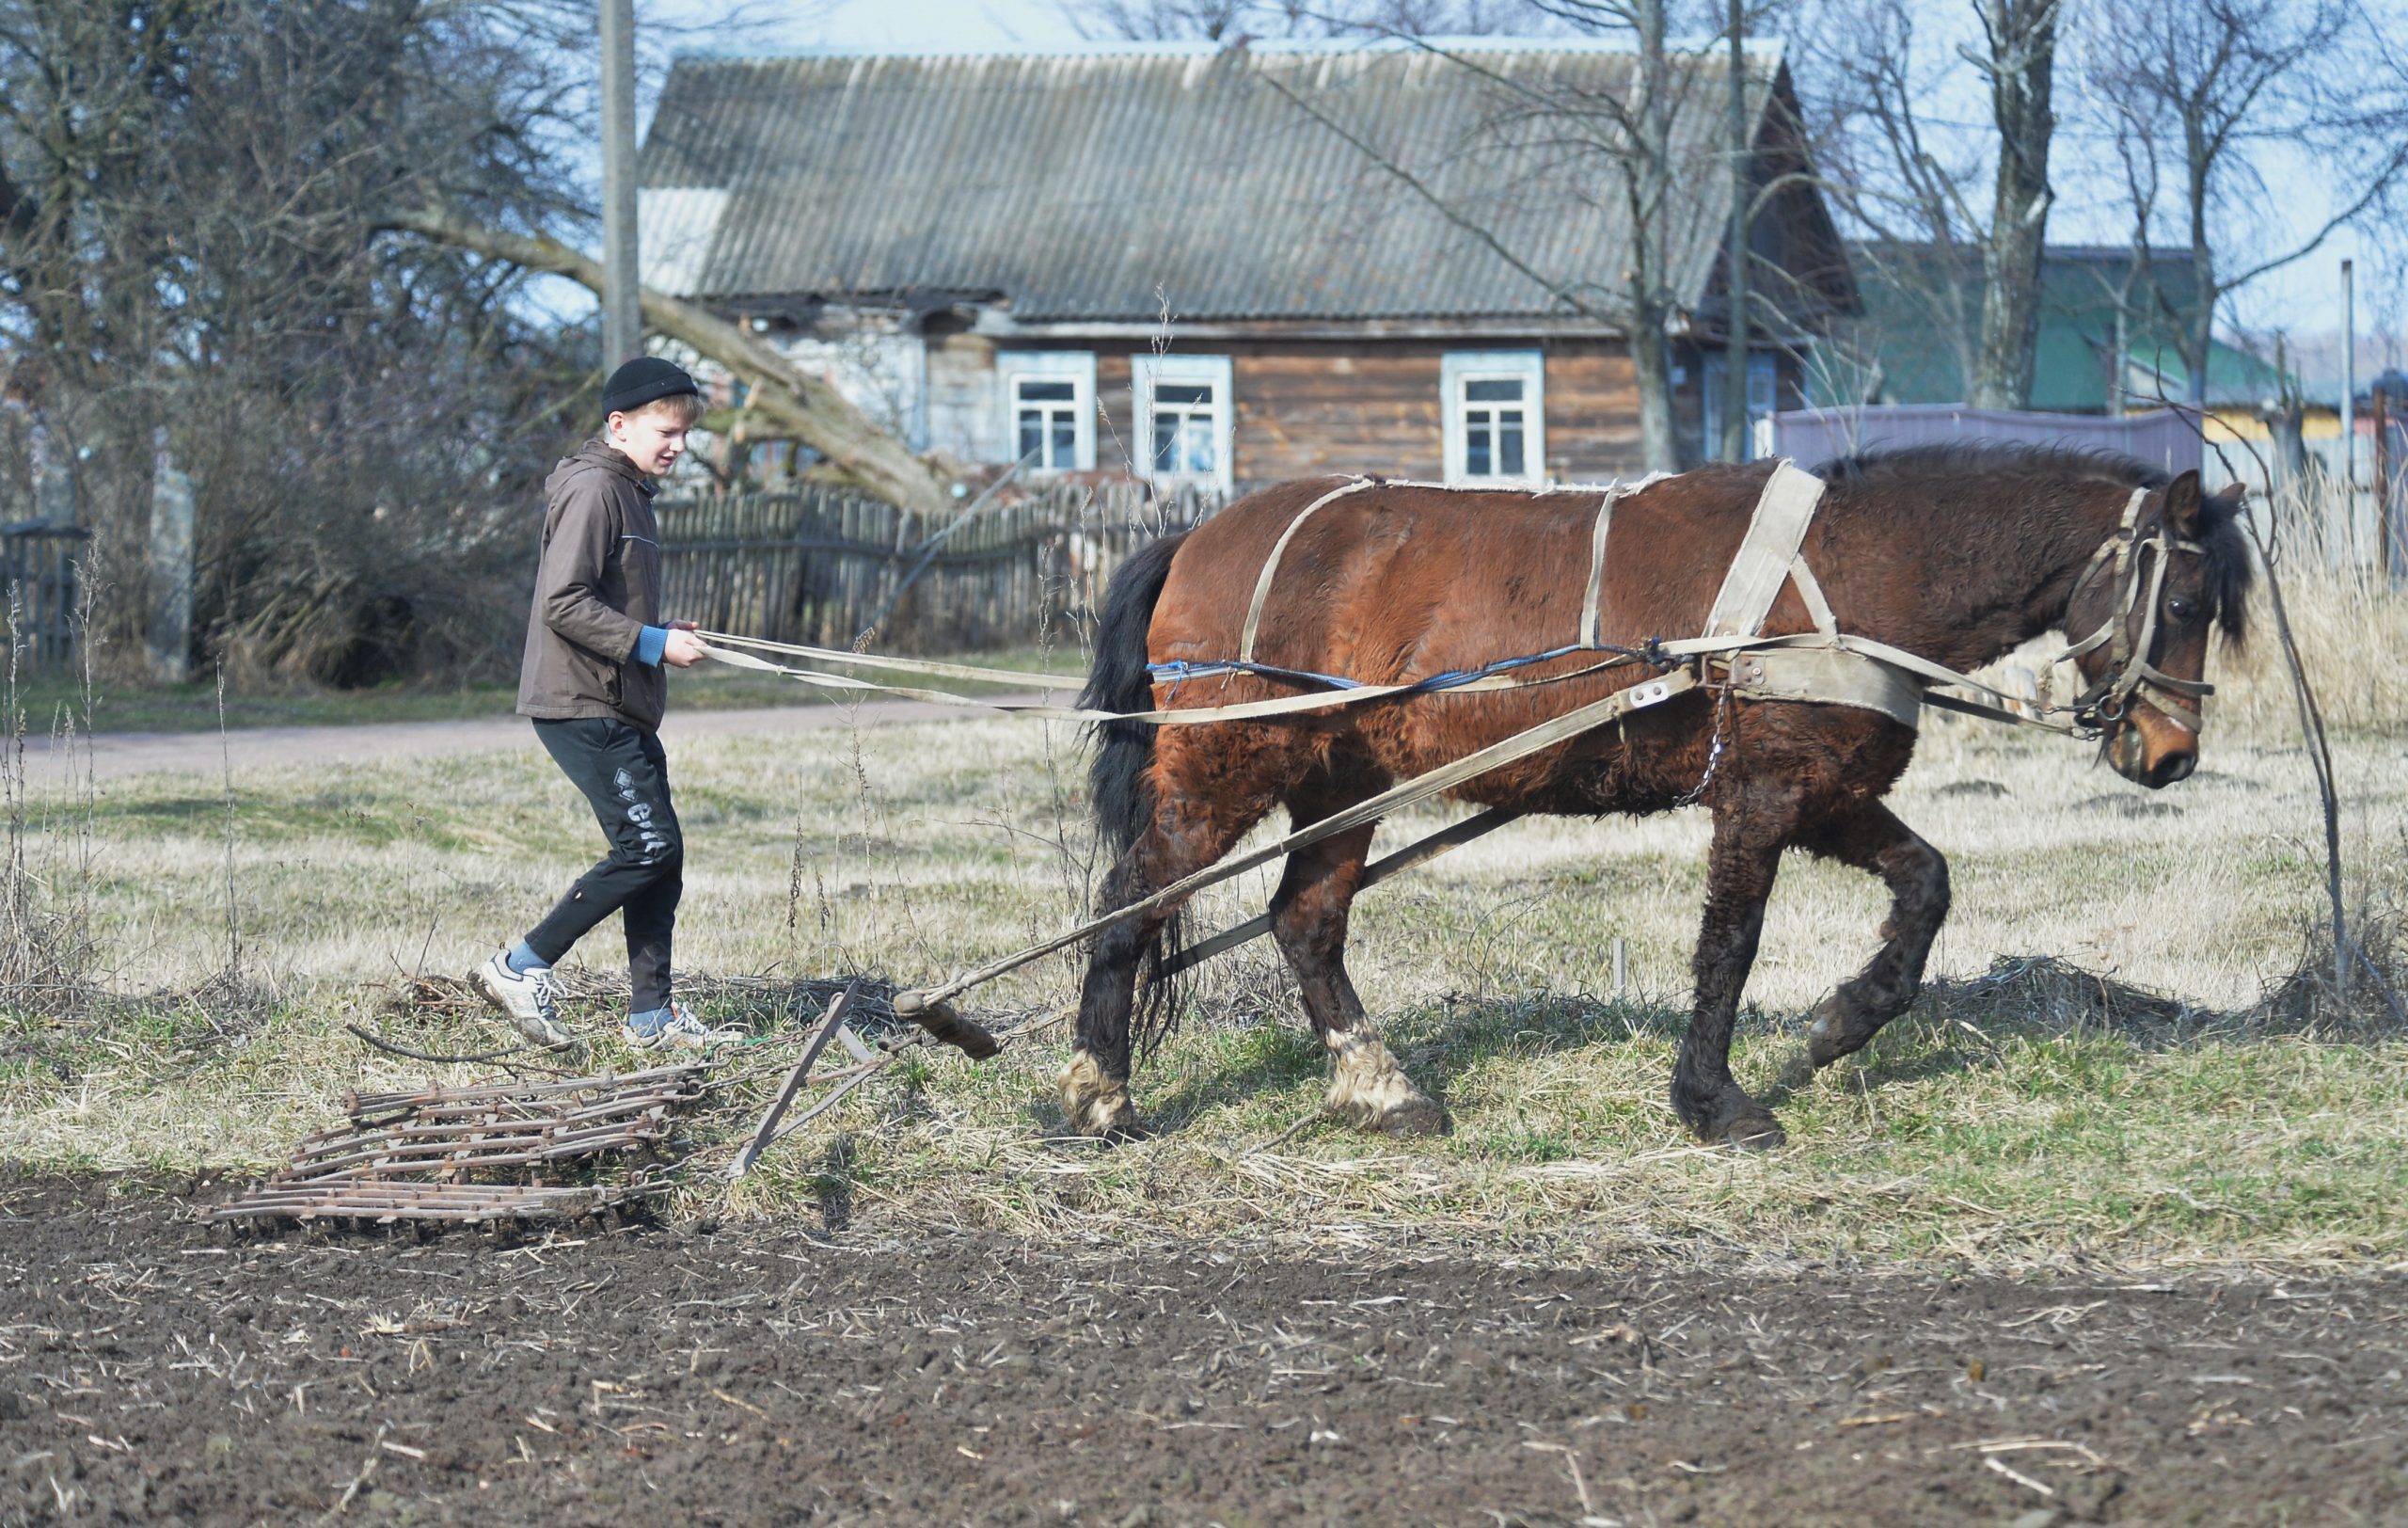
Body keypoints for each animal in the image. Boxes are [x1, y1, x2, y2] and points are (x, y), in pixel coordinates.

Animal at [1064, 445, 2243, 1147]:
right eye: (2186, 599)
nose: (2170, 754)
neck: (1850, 569)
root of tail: (1196, 535)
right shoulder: (1762, 793)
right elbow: (1730, 943)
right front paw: (1713, 1099)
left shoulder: (1827, 789)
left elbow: (1925, 888)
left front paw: (1839, 1025)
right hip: (1227, 765)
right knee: (1128, 905)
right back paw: (1099, 1094)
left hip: (1342, 778)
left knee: (1304, 919)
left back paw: (1381, 1087)